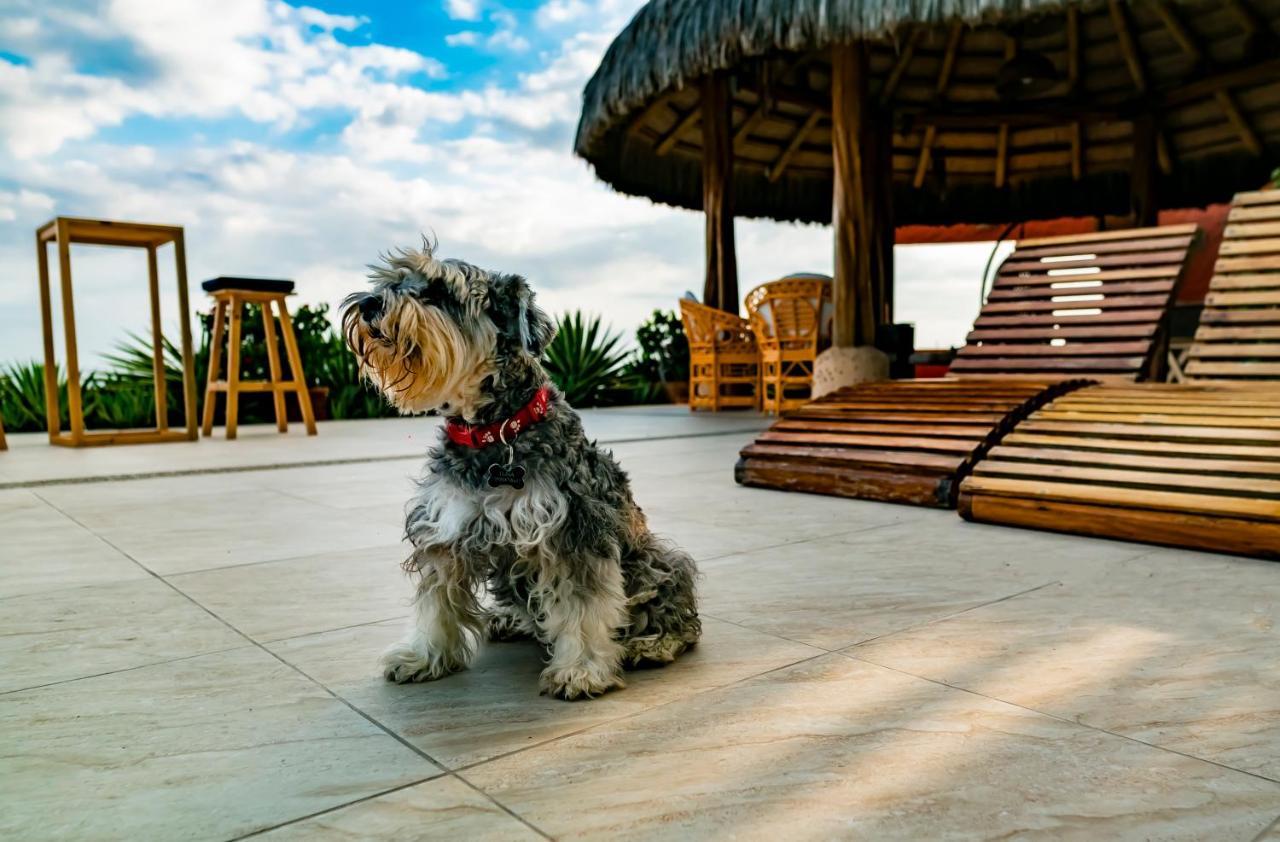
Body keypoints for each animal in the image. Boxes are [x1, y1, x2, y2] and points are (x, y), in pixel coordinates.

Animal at [340, 239, 701, 696]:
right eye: (393, 280)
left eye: (440, 291)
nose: (369, 304)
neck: (494, 432)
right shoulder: (446, 528)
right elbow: (435, 599)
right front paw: (423, 655)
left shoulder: (575, 531)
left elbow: (585, 605)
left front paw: (581, 669)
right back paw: (510, 619)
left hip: (656, 558)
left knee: (674, 607)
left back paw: (652, 643)